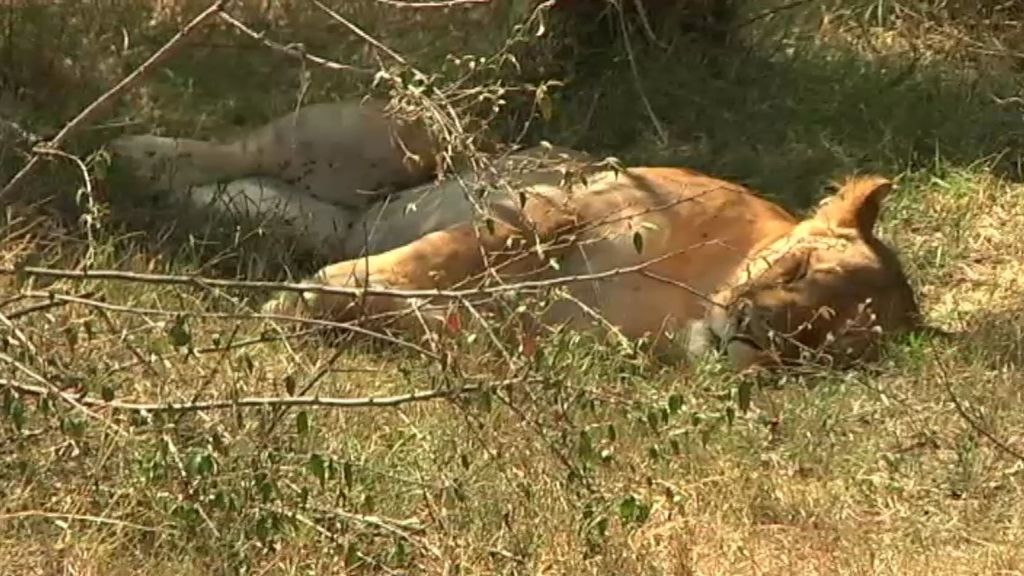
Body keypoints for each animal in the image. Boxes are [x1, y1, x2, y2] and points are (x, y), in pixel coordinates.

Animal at [110, 96, 929, 368]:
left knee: (248, 197)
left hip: (315, 211)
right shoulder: (555, 208)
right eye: (796, 274)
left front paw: (319, 312)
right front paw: (299, 305)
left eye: (821, 345)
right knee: (239, 149)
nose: (754, 333)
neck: (692, 300)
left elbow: (422, 309)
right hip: (385, 136)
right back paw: (128, 153)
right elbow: (428, 259)